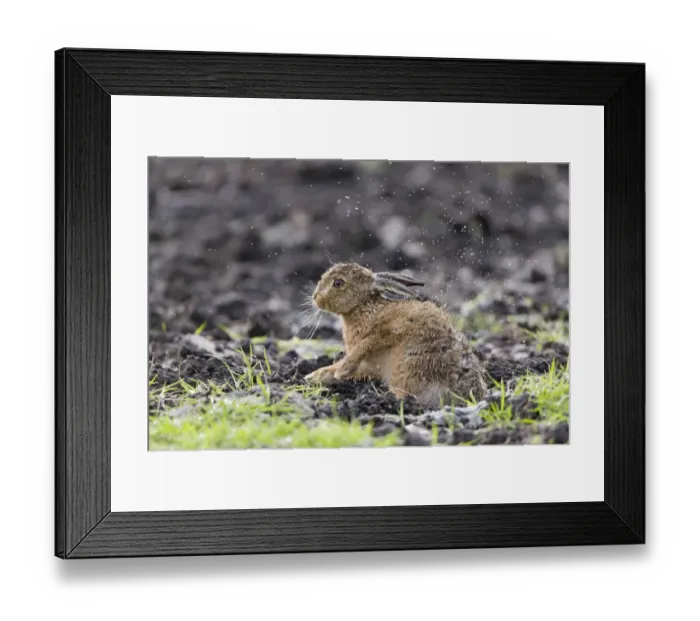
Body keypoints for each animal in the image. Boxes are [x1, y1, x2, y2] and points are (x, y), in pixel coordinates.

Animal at [304, 262, 488, 408]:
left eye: (338, 283)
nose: (315, 297)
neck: (364, 307)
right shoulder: (369, 364)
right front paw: (313, 377)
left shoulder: (388, 331)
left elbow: (366, 343)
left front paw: (341, 372)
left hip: (409, 370)